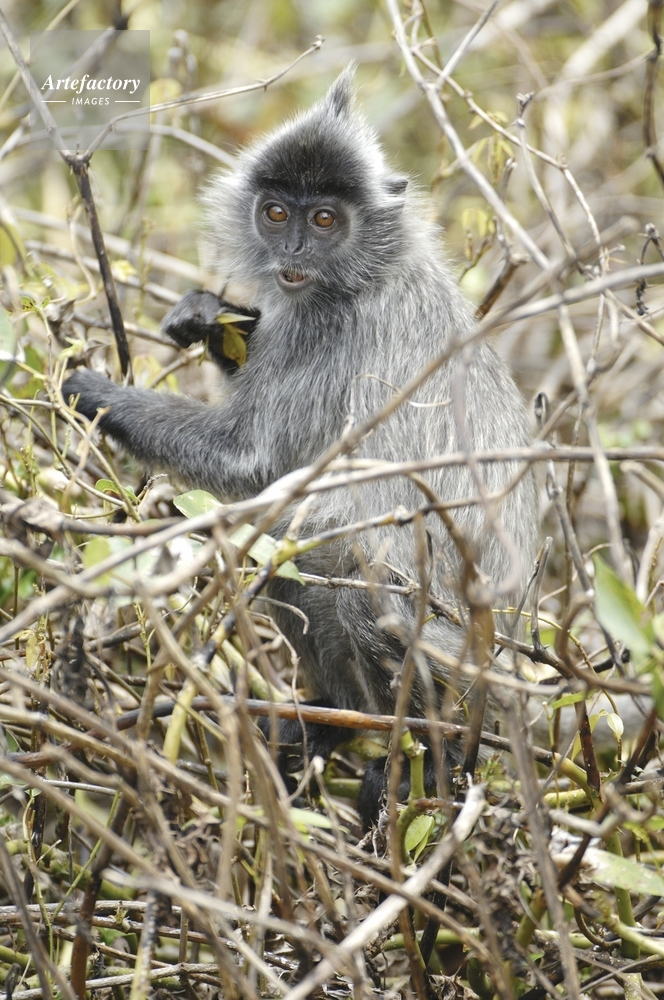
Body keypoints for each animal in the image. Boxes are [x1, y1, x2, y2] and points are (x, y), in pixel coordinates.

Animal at [64, 68, 538, 827]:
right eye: (277, 213)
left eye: (324, 222)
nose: (291, 256)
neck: (367, 272)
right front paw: (208, 317)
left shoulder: (329, 331)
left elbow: (252, 460)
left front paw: (94, 392)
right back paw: (329, 726)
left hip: (449, 644)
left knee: (340, 558)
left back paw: (411, 753)